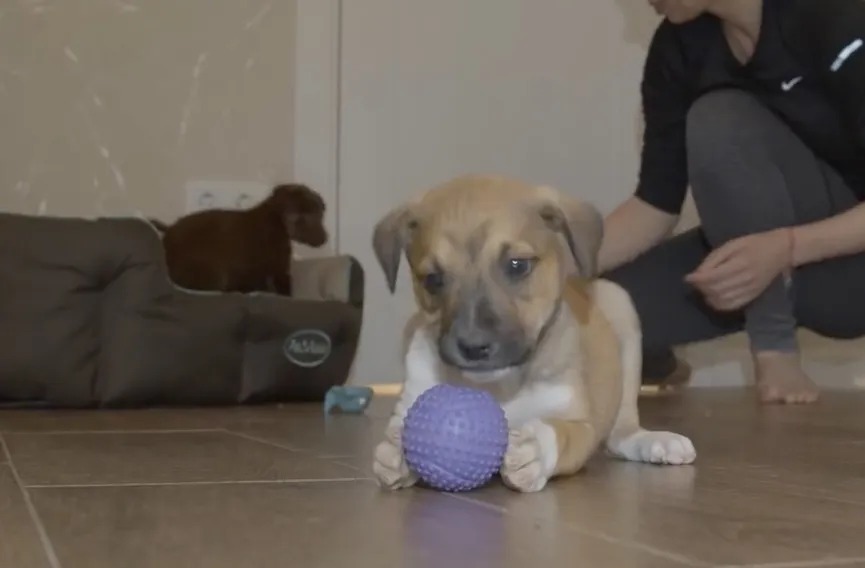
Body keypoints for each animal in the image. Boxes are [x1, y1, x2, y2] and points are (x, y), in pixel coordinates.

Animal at [372, 174, 696, 492]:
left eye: (517, 265)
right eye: (433, 279)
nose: (474, 347)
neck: (500, 388)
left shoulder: (581, 423)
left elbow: (563, 434)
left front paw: (536, 449)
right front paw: (396, 452)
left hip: (622, 312)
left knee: (621, 431)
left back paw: (654, 440)